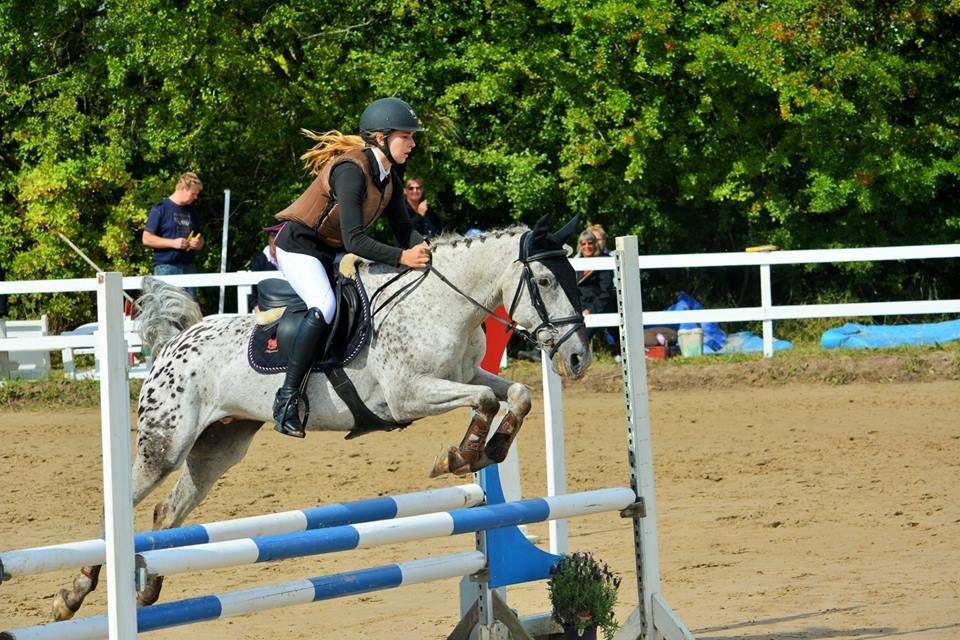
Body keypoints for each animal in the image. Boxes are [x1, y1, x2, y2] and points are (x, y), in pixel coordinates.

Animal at [50, 215, 592, 621]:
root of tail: (174, 344)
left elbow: (515, 394)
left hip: (219, 446)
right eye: (545, 281)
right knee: (116, 510)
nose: (578, 358)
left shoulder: (466, 374)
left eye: (574, 278)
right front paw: (460, 456)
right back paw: (71, 596)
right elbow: (483, 400)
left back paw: (148, 589)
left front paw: (490, 449)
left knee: (169, 512)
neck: (440, 307)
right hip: (164, 443)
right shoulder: (408, 396)